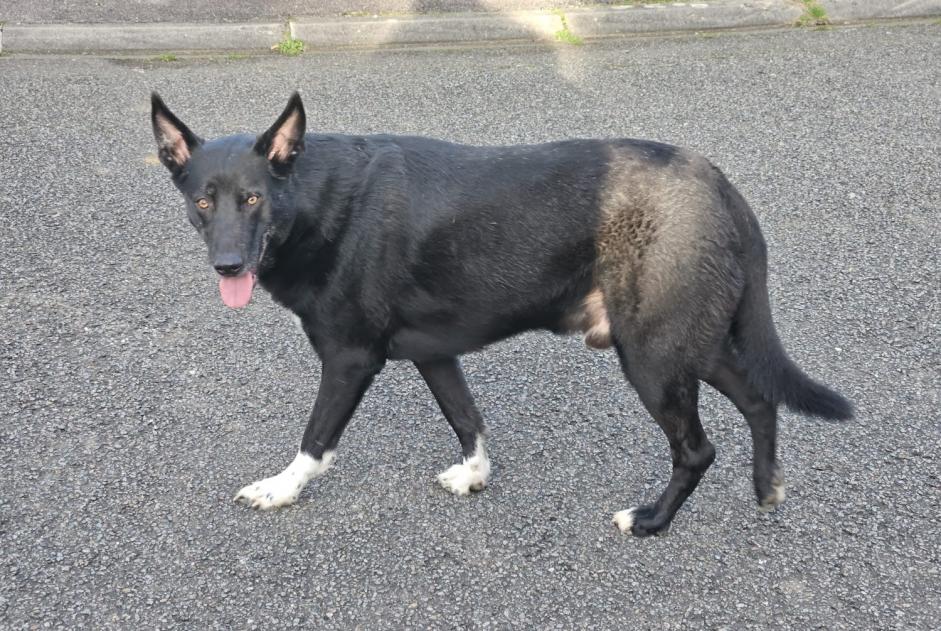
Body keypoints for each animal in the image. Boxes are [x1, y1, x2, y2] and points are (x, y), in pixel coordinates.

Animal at [151, 92, 848, 540]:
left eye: (252, 199)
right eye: (203, 202)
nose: (228, 266)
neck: (315, 199)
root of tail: (719, 183)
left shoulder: (350, 360)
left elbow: (315, 442)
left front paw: (281, 490)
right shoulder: (434, 353)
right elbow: (468, 419)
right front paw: (475, 476)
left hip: (652, 354)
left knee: (697, 450)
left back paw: (652, 520)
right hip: (686, 340)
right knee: (759, 398)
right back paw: (767, 486)